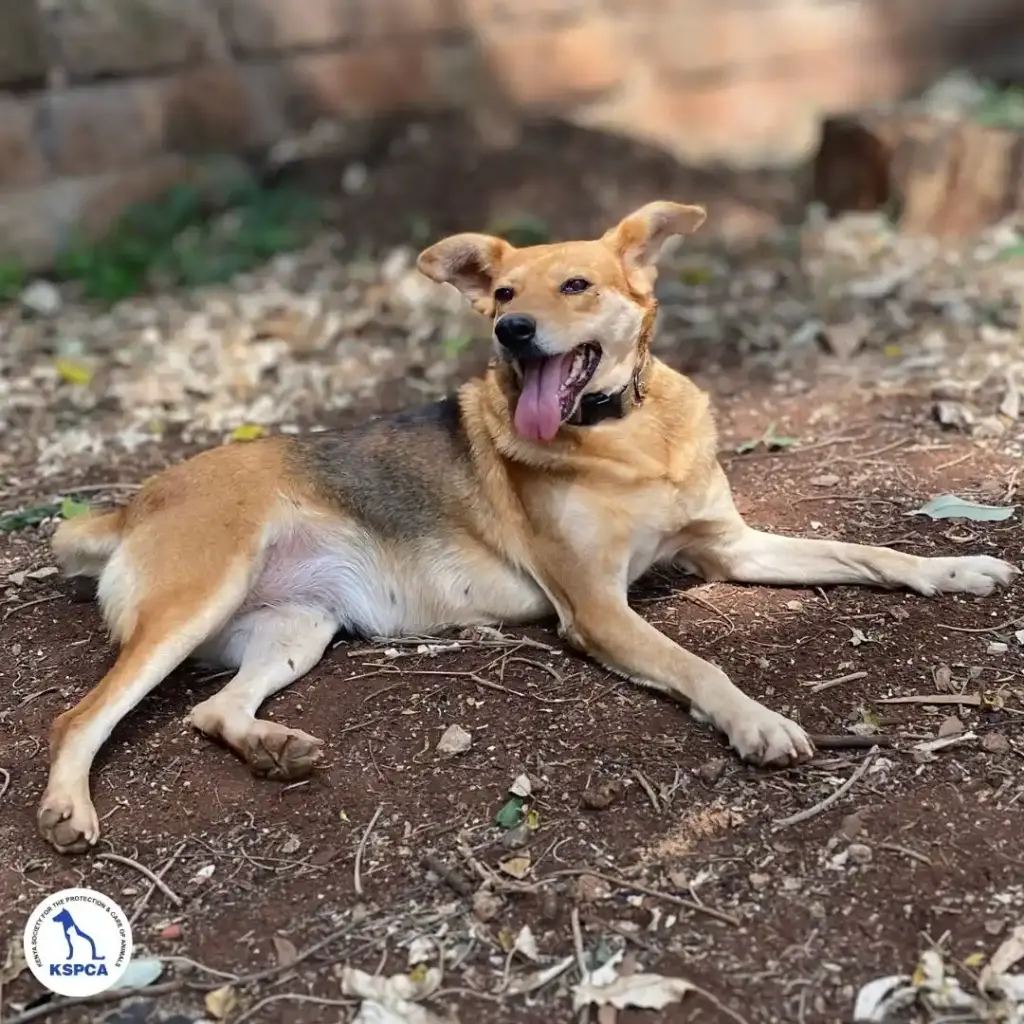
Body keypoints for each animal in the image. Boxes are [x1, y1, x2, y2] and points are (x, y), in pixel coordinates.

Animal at [41, 201, 1018, 854]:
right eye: (504, 290)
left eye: (577, 284)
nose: (511, 329)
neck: (627, 435)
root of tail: (134, 501)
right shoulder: (597, 609)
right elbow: (701, 665)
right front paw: (758, 723)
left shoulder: (732, 547)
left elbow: (869, 550)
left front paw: (958, 568)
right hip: (197, 599)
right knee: (80, 717)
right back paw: (67, 809)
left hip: (298, 626)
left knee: (212, 710)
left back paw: (274, 748)